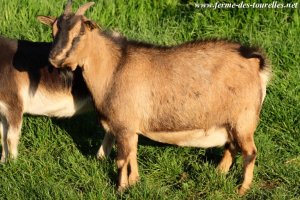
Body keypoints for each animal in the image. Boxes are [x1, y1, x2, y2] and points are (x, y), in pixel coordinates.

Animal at [38, 1, 272, 195]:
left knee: (250, 152)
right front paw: (135, 182)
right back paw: (218, 173)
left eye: (79, 34)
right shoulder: (129, 128)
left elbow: (121, 160)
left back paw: (241, 190)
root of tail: (256, 63)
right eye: (53, 31)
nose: (54, 58)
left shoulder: (123, 125)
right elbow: (132, 155)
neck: (114, 67)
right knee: (231, 147)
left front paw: (121, 188)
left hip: (244, 120)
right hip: (229, 121)